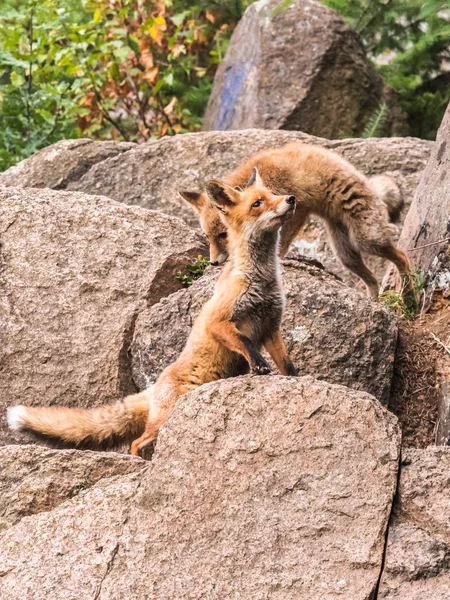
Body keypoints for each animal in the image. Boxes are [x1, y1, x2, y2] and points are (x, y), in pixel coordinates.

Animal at [7, 171, 298, 458]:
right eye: (257, 203)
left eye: (273, 194)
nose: (291, 199)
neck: (260, 279)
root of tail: (155, 385)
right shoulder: (219, 321)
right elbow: (245, 341)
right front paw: (259, 364)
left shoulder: (271, 326)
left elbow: (287, 364)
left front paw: (296, 379)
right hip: (165, 418)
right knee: (137, 442)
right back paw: (138, 461)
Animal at [180, 141, 412, 300]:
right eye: (208, 237)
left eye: (223, 235)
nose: (213, 262)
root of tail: (368, 183)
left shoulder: (298, 208)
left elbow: (281, 244)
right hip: (345, 254)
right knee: (372, 280)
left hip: (367, 240)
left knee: (402, 256)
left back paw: (409, 293)